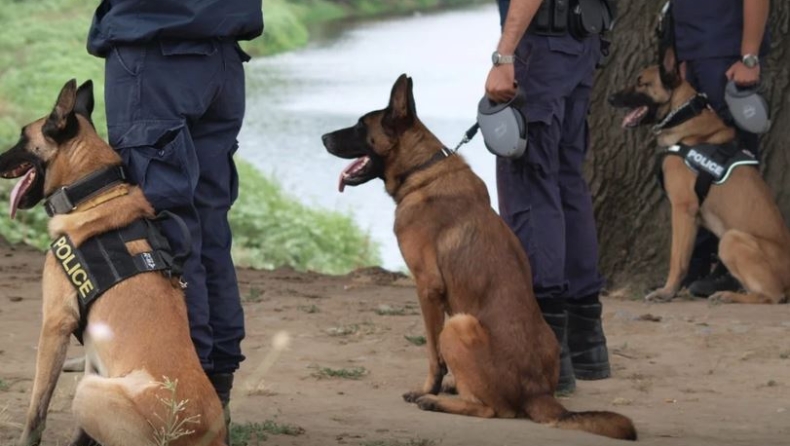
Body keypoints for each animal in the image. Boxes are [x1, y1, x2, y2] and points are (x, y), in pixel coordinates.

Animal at [0, 81, 229, 446]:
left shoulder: (55, 324)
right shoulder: (92, 346)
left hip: (89, 392)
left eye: (23, 137)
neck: (91, 192)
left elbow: (36, 410)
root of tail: (203, 434)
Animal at [322, 75, 636, 440]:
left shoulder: (427, 289)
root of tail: (538, 393)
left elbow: (433, 354)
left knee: (491, 409)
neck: (422, 170)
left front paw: (428, 388)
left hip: (459, 324)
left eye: (361, 125)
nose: (324, 137)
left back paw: (438, 401)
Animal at [612, 47, 790, 304]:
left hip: (731, 239)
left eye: (641, 83)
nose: (611, 99)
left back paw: (728, 295)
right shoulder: (692, 217)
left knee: (772, 296)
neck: (683, 115)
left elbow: (677, 258)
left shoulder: (682, 208)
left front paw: (667, 291)